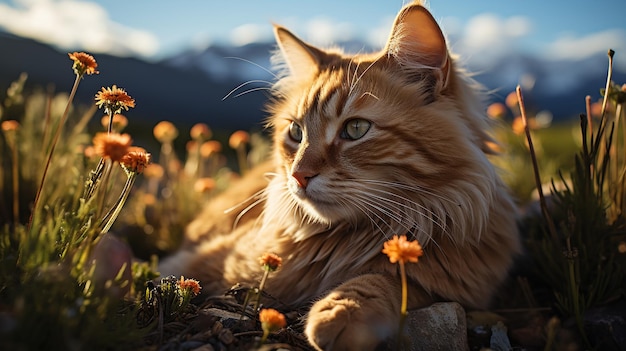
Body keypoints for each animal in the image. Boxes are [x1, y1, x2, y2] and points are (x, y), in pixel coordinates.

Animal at [158, 1, 520, 350]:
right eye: (296, 132)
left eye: (355, 129)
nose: (299, 176)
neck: (343, 242)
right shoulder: (199, 261)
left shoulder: (452, 285)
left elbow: (386, 279)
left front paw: (343, 310)